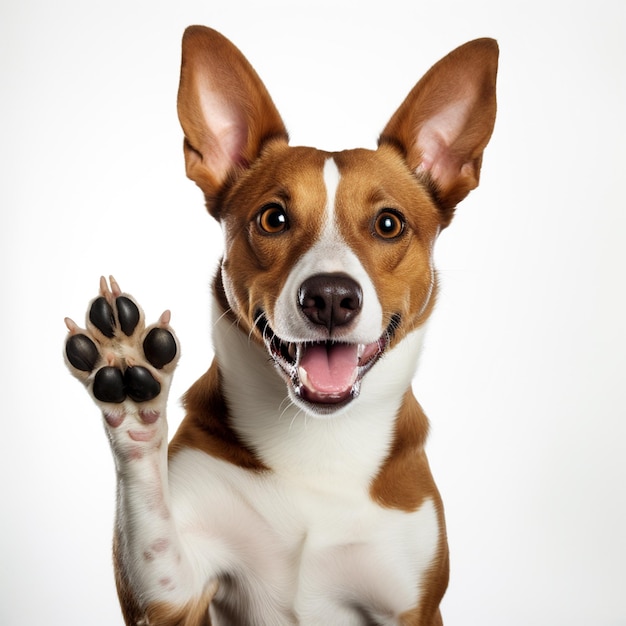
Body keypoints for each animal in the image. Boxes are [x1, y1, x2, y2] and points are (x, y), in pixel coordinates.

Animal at [64, 25, 498, 624]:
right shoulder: (173, 597)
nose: (331, 298)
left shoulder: (414, 606)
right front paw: (132, 395)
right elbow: (152, 526)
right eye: (274, 218)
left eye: (389, 224)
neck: (318, 442)